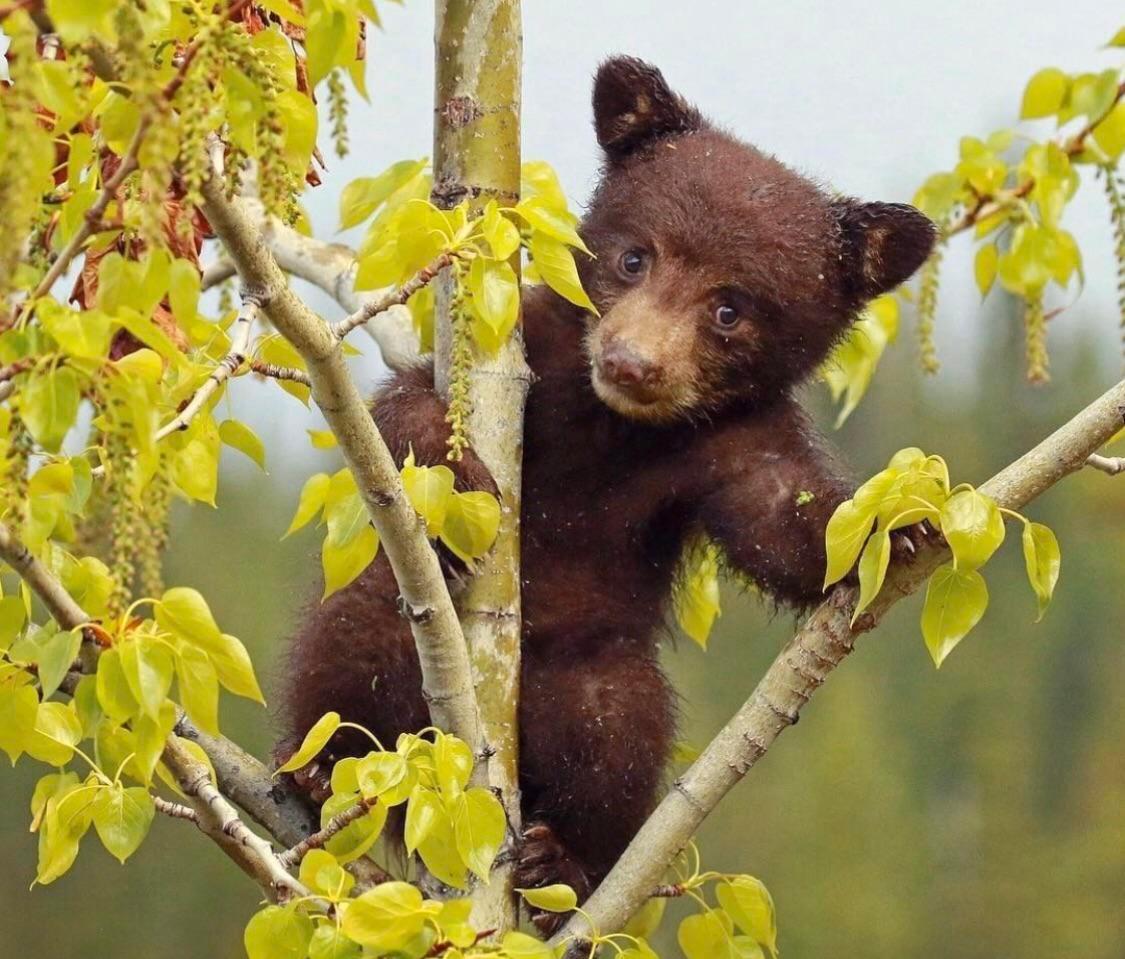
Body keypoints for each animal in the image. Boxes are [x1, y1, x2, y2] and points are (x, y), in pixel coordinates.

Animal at [277, 56, 936, 932]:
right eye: (634, 258)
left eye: (731, 308)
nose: (633, 362)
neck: (610, 427)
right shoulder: (528, 343)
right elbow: (406, 406)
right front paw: (461, 475)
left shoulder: (728, 439)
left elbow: (782, 518)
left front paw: (893, 522)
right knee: (353, 636)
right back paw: (321, 770)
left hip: (589, 669)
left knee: (616, 724)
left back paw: (561, 860)